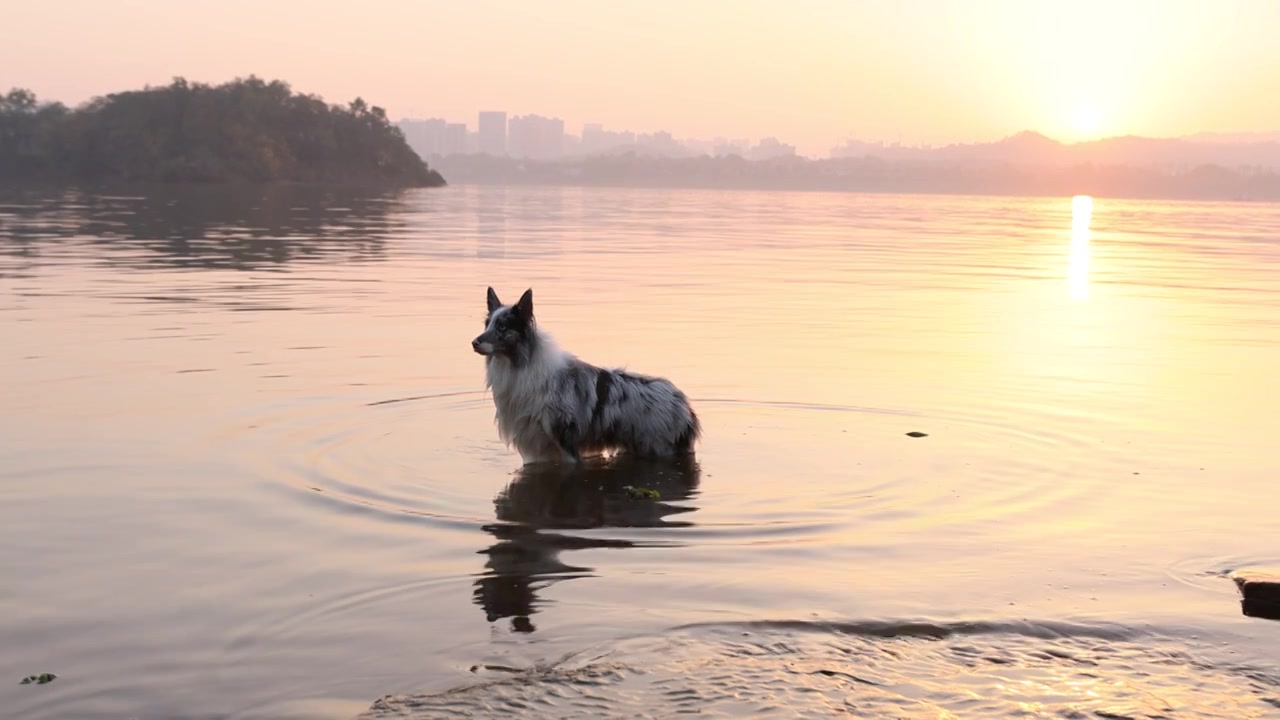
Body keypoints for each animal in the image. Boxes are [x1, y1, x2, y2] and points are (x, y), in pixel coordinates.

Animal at [471, 286, 701, 466]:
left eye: (502, 327)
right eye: (487, 324)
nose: (474, 342)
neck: (520, 364)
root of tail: (683, 404)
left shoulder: (566, 445)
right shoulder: (539, 449)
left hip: (657, 447)